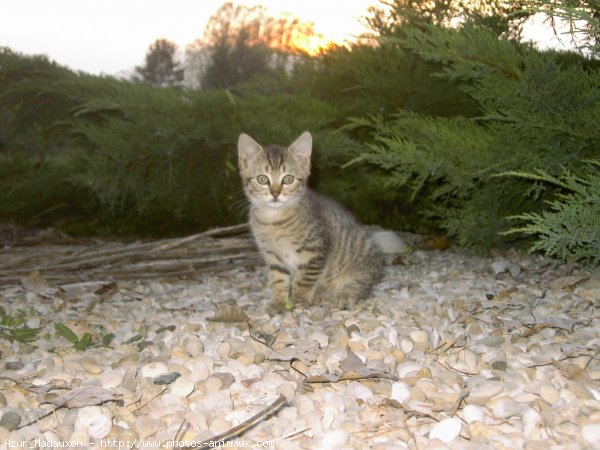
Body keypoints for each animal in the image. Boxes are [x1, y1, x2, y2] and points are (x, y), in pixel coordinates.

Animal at [237, 130, 382, 312]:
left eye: (288, 179)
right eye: (262, 179)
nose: (275, 193)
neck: (274, 219)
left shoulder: (315, 251)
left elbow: (305, 279)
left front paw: (299, 300)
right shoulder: (273, 255)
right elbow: (278, 279)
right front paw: (279, 301)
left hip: (364, 259)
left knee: (360, 285)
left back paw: (344, 295)